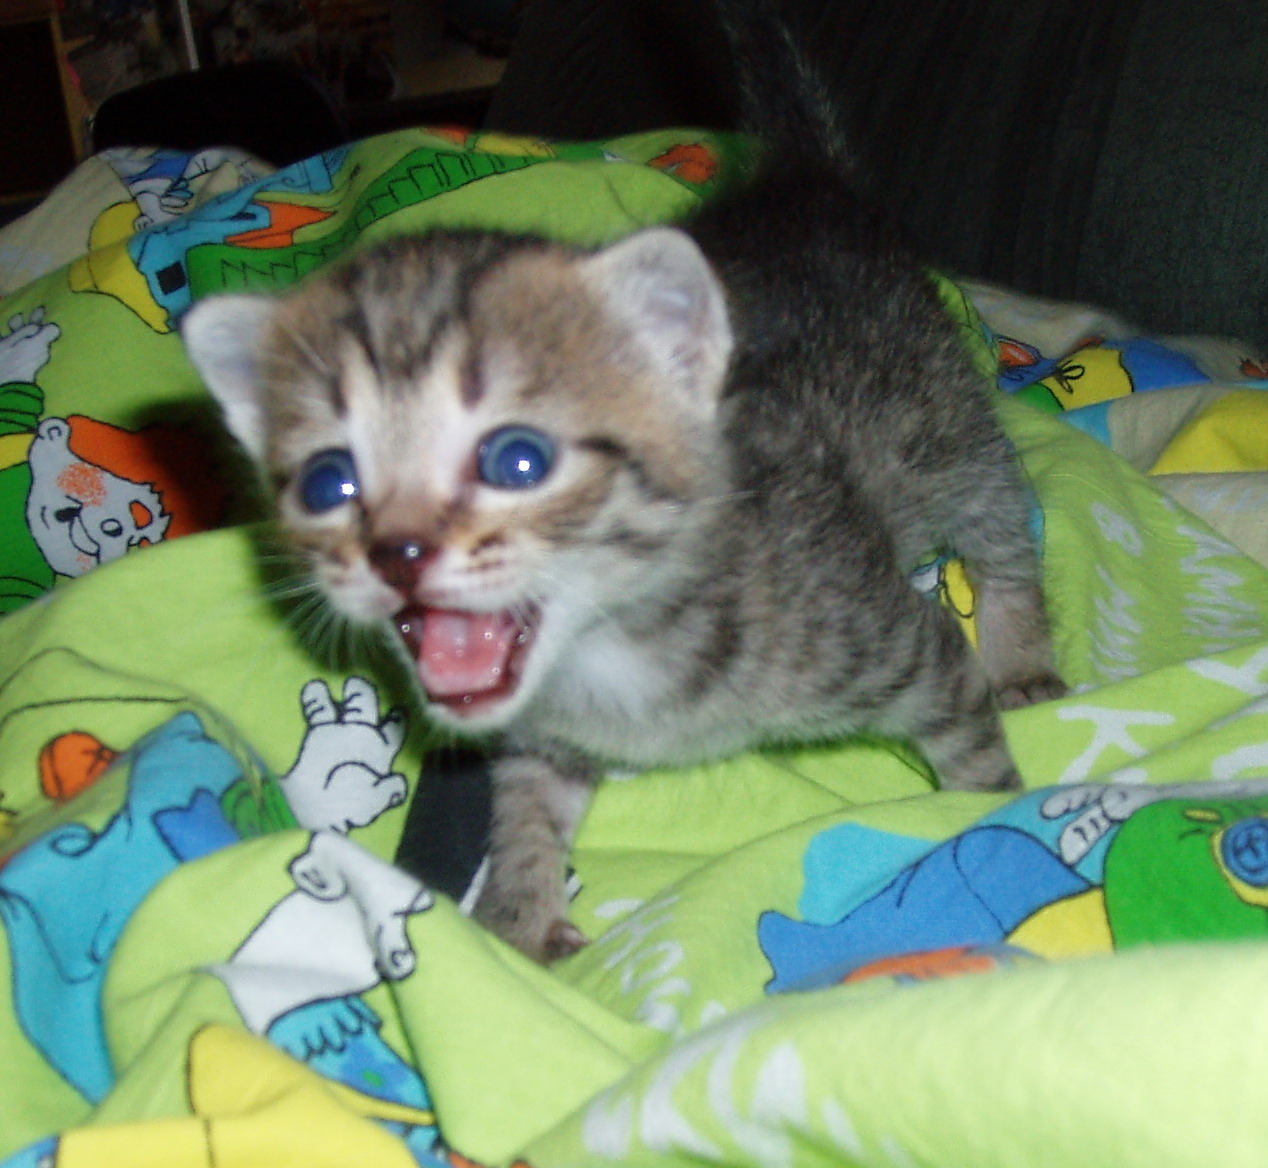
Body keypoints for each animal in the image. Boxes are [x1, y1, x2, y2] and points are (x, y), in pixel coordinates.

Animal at [182, 0, 1065, 963]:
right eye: (328, 483)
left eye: (516, 459)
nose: (396, 552)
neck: (611, 655)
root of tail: (799, 186)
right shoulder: (542, 737)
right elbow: (523, 809)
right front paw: (520, 918)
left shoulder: (899, 639)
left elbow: (969, 737)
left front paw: (996, 824)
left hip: (942, 424)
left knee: (1001, 521)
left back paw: (1022, 653)